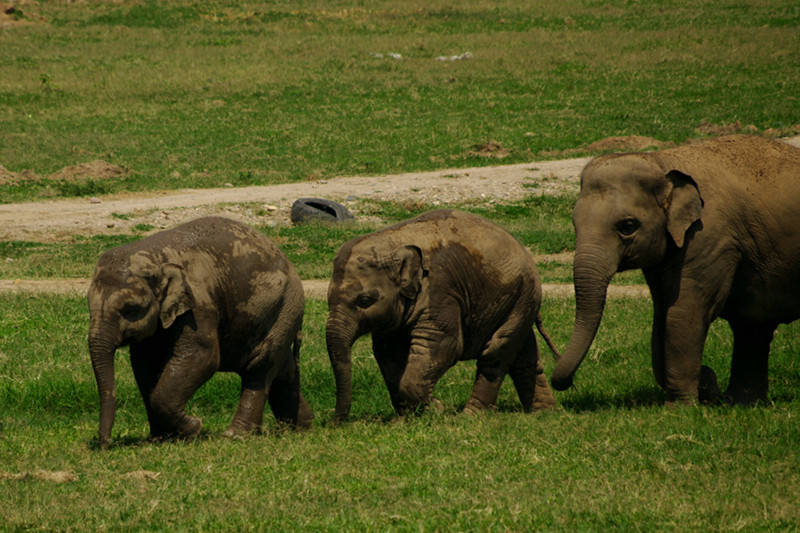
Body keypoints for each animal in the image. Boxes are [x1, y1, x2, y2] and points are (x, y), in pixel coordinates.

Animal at [86, 214, 312, 446]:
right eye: (87, 305)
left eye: (130, 310)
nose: (107, 442)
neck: (156, 254)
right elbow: (145, 364)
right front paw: (161, 438)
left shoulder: (199, 304)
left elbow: (204, 357)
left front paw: (194, 428)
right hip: (280, 314)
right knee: (283, 369)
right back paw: (300, 428)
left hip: (283, 306)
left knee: (260, 366)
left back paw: (236, 435)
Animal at [322, 208, 560, 420]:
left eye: (364, 301)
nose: (335, 422)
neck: (394, 243)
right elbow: (387, 353)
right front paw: (407, 418)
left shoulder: (440, 291)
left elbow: (445, 344)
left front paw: (435, 409)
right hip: (518, 301)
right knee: (523, 356)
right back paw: (542, 413)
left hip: (520, 296)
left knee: (495, 353)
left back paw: (471, 415)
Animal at [552, 135, 800, 406]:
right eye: (575, 223)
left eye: (628, 226)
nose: (568, 383)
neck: (662, 161)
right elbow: (662, 313)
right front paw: (703, 389)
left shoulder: (709, 236)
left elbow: (683, 312)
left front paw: (681, 407)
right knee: (752, 328)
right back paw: (739, 403)